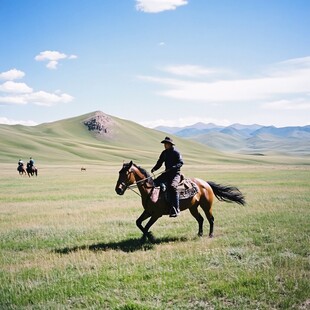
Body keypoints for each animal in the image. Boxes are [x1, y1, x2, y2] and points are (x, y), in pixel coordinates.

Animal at [115, 161, 246, 241]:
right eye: (119, 172)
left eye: (126, 173)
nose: (118, 189)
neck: (151, 190)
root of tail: (205, 183)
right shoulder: (148, 211)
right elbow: (139, 223)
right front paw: (144, 238)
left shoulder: (156, 214)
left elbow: (146, 226)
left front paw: (151, 237)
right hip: (193, 207)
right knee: (200, 219)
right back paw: (199, 234)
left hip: (206, 206)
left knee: (211, 219)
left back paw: (210, 235)